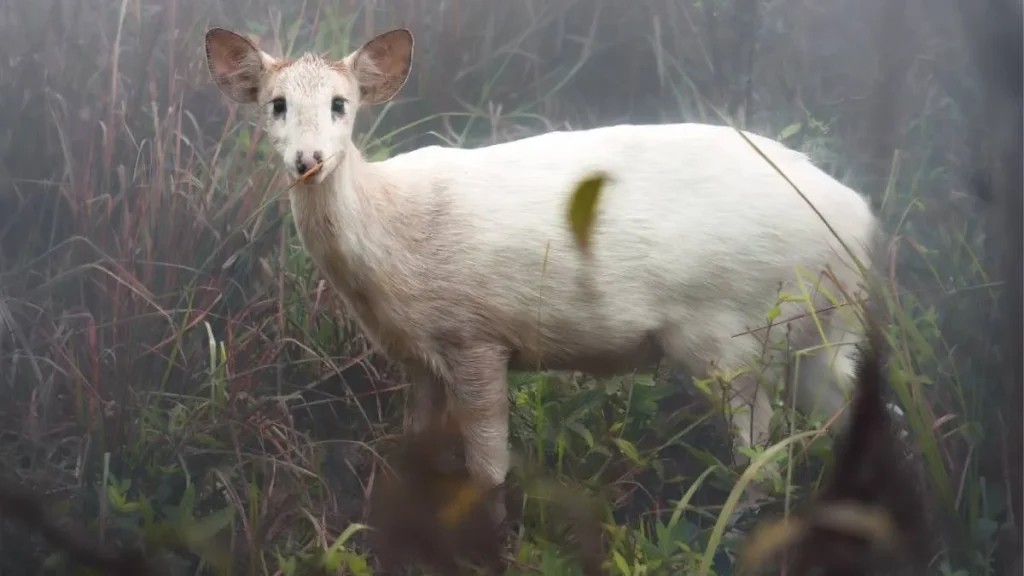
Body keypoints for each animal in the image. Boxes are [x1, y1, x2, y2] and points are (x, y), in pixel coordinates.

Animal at [204, 26, 883, 523]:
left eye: (341, 104)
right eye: (276, 104)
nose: (308, 160)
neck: (388, 234)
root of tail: (859, 223)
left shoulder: (476, 336)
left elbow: (487, 473)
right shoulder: (416, 355)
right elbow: (414, 451)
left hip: (736, 335)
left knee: (761, 458)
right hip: (820, 331)